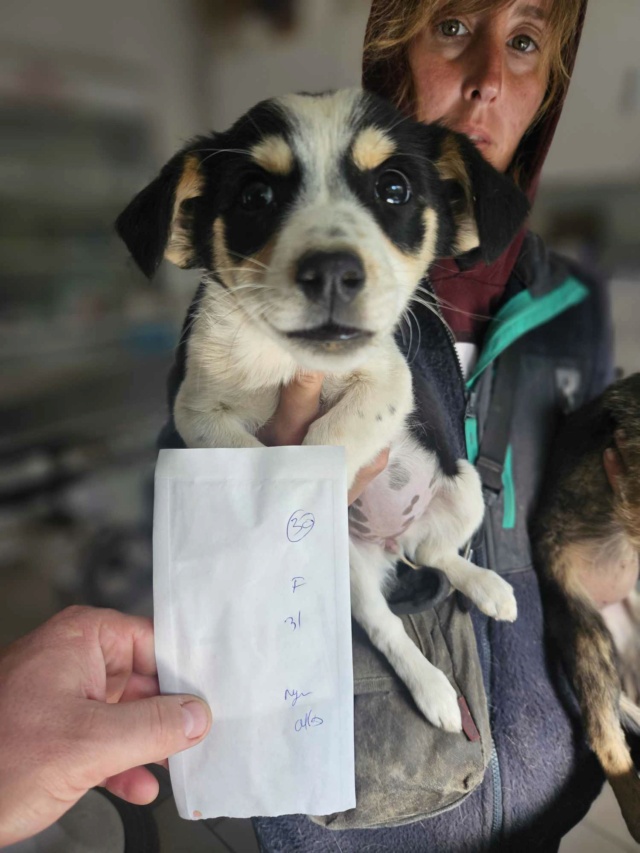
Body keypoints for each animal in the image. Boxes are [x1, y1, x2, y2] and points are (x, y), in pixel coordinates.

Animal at [117, 90, 528, 736]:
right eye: (255, 196)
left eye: (393, 188)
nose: (332, 271)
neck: (287, 358)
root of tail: (390, 544)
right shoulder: (195, 409)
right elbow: (251, 458)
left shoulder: (389, 380)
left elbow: (330, 434)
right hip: (359, 573)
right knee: (388, 623)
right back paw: (435, 689)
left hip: (462, 486)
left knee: (436, 552)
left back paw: (486, 589)